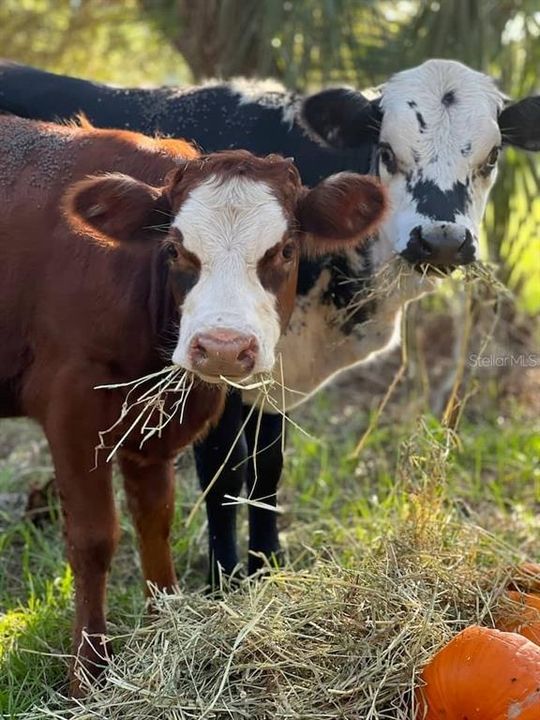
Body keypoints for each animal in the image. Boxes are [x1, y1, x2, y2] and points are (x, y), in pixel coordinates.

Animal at [0, 115, 388, 696]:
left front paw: (163, 627)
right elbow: (94, 539)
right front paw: (88, 674)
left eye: (284, 250)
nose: (224, 346)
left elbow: (154, 521)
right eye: (176, 250)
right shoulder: (71, 410)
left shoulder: (156, 429)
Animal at [2, 59, 536, 584]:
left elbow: (267, 465)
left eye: (491, 157)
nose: (441, 240)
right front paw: (224, 577)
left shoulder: (272, 372)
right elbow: (224, 470)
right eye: (387, 151)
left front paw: (266, 564)